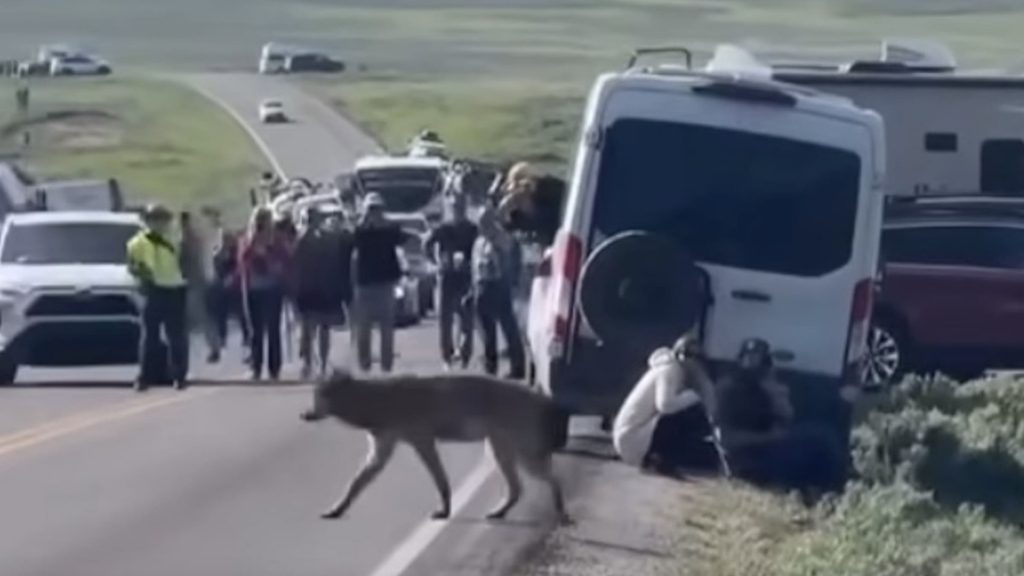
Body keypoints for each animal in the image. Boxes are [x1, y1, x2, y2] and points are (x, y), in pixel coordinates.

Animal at [301, 369, 571, 524]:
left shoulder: (422, 439)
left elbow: (439, 478)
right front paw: (336, 509)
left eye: (320, 396)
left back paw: (561, 512)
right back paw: (500, 512)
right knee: (517, 487)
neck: (372, 402)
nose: (305, 414)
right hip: (499, 446)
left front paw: (445, 509)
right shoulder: (384, 443)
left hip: (523, 449)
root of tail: (540, 396)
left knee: (551, 477)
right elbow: (358, 481)